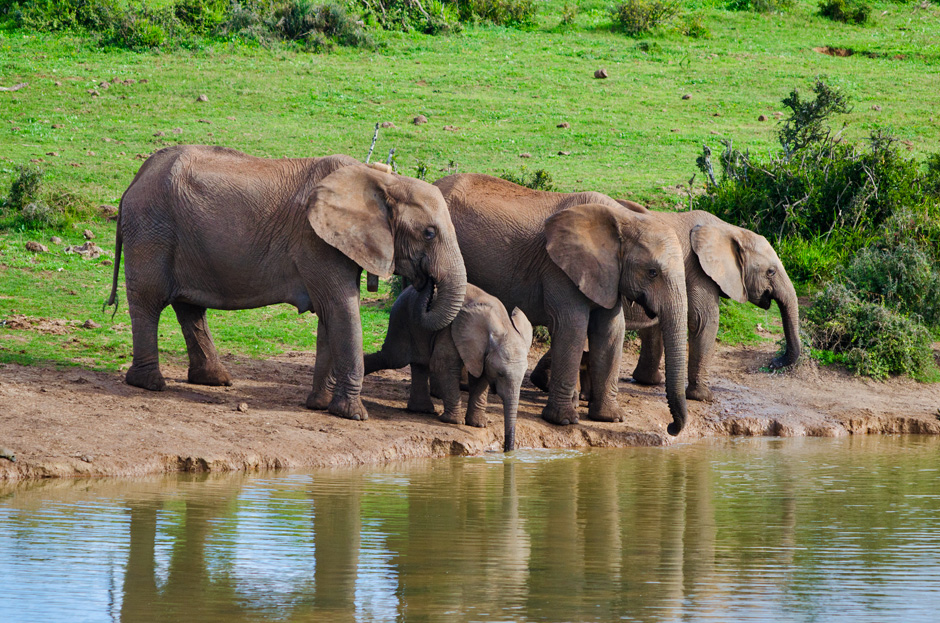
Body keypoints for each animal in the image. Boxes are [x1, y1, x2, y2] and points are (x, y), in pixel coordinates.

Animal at [105, 144, 466, 422]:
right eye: (429, 233)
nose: (424, 283)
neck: (381, 180)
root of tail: (136, 178)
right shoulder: (316, 241)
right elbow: (341, 310)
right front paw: (353, 415)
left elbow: (330, 317)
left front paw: (319, 405)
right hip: (152, 228)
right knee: (149, 301)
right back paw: (149, 384)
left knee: (189, 308)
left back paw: (214, 380)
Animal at [364, 286, 532, 450]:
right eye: (500, 373)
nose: (507, 449)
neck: (503, 323)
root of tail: (406, 290)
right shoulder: (451, 331)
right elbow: (444, 366)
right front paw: (454, 422)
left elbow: (480, 378)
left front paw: (478, 424)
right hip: (402, 318)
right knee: (392, 358)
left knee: (420, 364)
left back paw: (422, 410)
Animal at [434, 173, 692, 436]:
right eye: (652, 272)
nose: (671, 428)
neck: (623, 219)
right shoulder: (559, 267)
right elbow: (572, 326)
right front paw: (564, 421)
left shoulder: (608, 274)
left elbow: (610, 331)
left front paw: (609, 418)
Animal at [532, 202, 796, 402]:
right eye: (771, 272)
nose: (775, 362)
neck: (727, 229)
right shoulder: (698, 270)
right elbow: (704, 320)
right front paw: (703, 397)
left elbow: (657, 323)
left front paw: (649, 381)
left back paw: (542, 382)